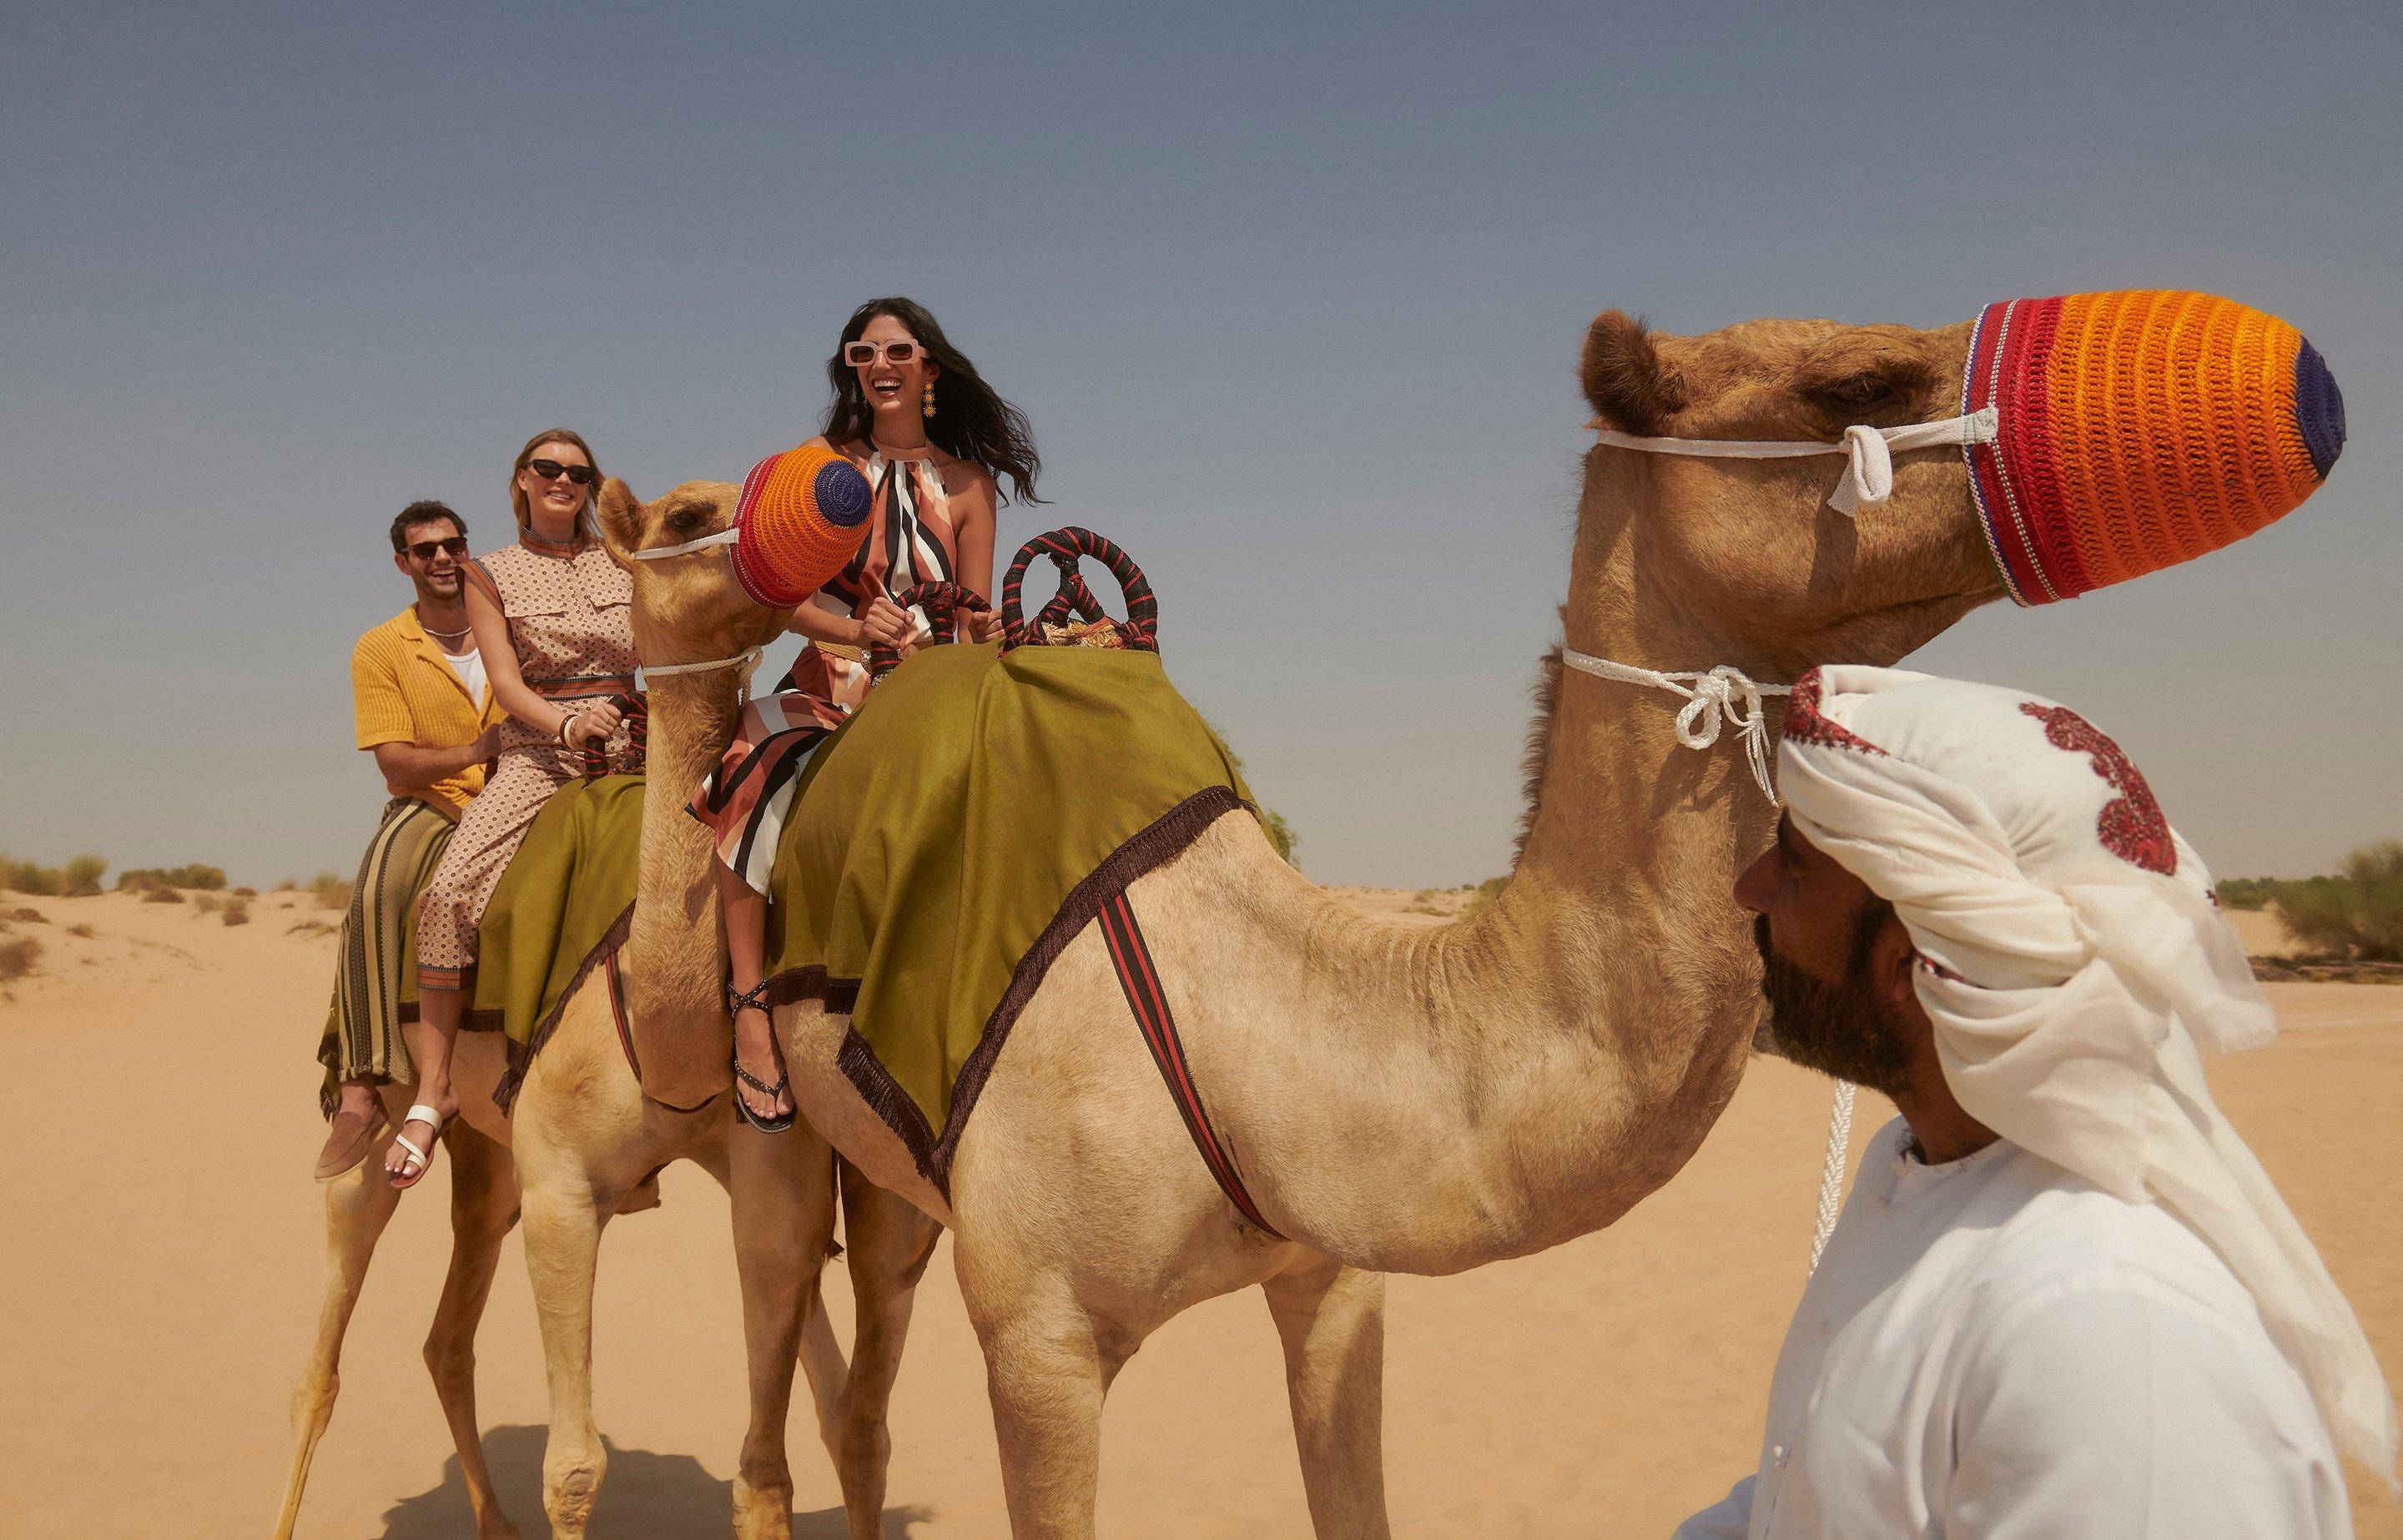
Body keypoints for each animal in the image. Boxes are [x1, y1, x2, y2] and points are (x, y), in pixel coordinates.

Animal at [275, 510, 941, 1540]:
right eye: (686, 520)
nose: (852, 594)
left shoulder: (765, 1172)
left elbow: (831, 1431)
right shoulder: (563, 1189)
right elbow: (577, 1467)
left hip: (488, 1154)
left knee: (446, 1337)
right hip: (385, 1103)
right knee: (324, 1354)